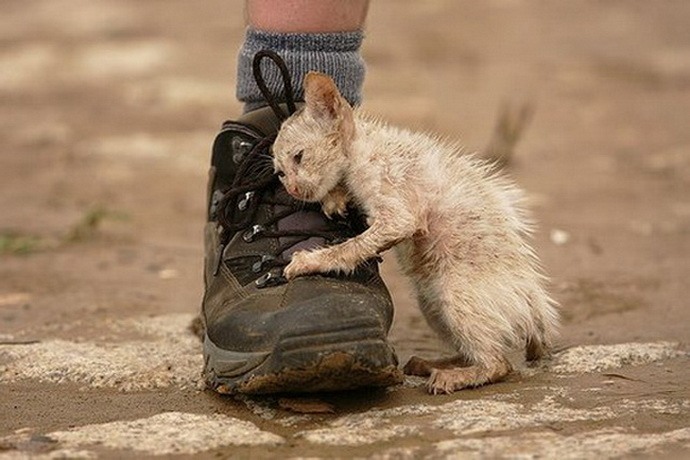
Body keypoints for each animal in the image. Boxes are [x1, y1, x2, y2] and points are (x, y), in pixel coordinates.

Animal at [270, 73, 560, 396]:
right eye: (280, 173)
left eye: (299, 157)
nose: (293, 189)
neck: (363, 147)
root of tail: (536, 312)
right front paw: (335, 198)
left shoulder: (398, 213)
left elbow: (352, 247)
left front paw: (309, 261)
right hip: (431, 304)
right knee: (477, 351)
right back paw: (432, 364)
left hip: (455, 293)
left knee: (498, 364)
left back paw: (453, 376)